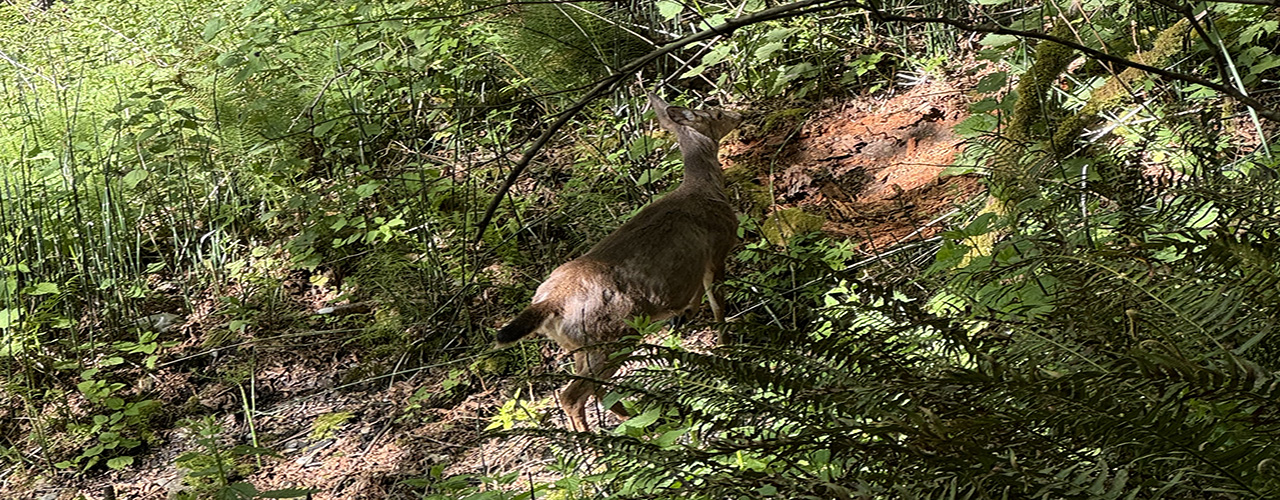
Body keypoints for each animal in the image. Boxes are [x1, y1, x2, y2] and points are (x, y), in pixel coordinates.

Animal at [494, 91, 742, 432]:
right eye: (716, 113)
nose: (740, 115)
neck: (703, 189)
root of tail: (549, 303)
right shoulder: (718, 250)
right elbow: (718, 308)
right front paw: (727, 350)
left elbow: (693, 301)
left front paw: (685, 318)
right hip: (609, 336)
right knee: (573, 394)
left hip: (581, 345)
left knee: (593, 389)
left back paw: (634, 419)